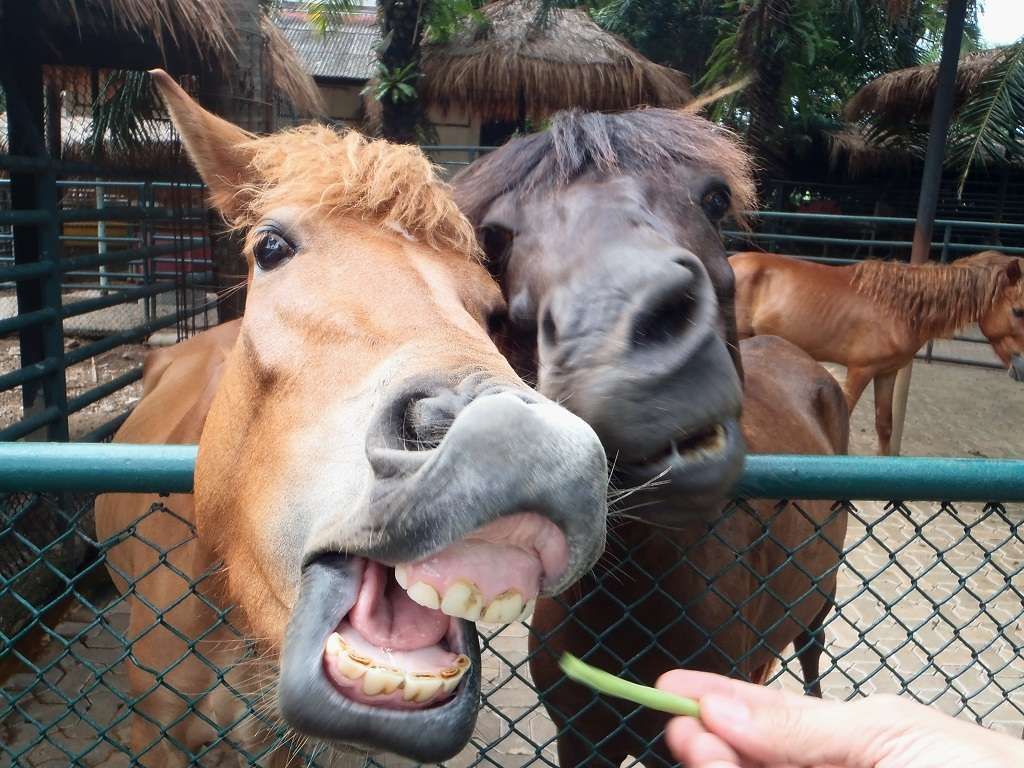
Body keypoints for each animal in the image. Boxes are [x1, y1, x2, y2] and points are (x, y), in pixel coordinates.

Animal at [731, 250, 1024, 454]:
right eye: (1018, 310)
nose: (1022, 368)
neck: (899, 307)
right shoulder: (860, 370)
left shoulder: (887, 372)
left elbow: (885, 426)